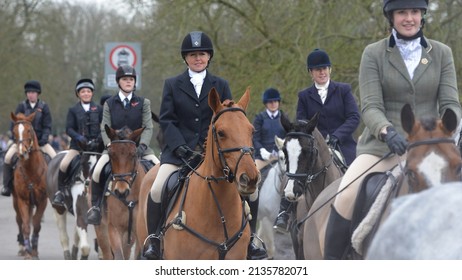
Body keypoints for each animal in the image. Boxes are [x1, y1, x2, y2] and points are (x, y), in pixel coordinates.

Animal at [10, 111, 48, 258]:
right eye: (14, 132)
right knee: (19, 220)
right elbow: (25, 225)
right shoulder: (22, 200)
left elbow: (36, 224)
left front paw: (35, 251)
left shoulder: (42, 200)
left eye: (29, 130)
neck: (31, 169)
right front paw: (28, 253)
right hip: (16, 201)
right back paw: (22, 247)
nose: (22, 153)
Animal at [93, 126, 145, 260]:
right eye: (111, 154)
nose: (121, 192)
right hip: (102, 230)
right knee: (107, 253)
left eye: (133, 154)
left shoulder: (138, 233)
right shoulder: (114, 229)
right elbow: (118, 256)